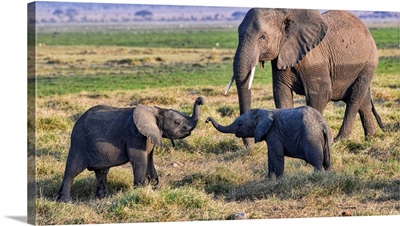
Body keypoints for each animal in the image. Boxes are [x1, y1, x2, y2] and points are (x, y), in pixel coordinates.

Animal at [56, 96, 205, 202]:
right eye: (177, 122)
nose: (200, 100)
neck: (154, 111)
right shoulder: (134, 136)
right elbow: (140, 161)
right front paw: (140, 190)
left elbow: (149, 160)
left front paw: (153, 189)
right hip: (79, 143)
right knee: (72, 170)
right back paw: (65, 201)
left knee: (101, 172)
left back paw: (103, 198)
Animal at [225, 8, 384, 145]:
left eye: (262, 37)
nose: (250, 146)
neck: (283, 12)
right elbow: (281, 93)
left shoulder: (315, 60)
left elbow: (319, 95)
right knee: (362, 100)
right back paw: (370, 138)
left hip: (368, 64)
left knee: (354, 99)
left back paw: (339, 140)